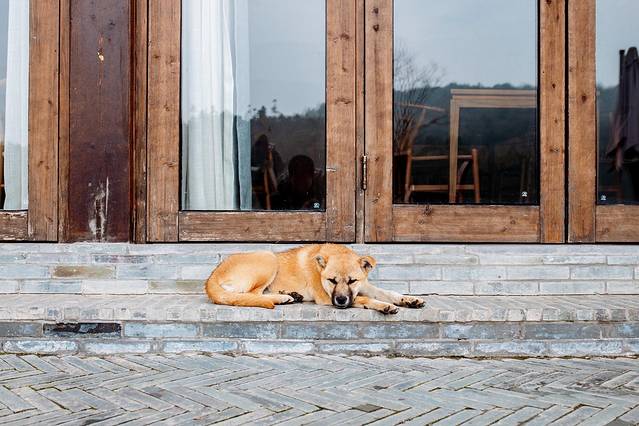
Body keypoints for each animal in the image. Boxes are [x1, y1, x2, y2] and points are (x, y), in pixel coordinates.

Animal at [205, 244, 424, 314]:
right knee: (253, 294)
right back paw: (282, 298)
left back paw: (290, 295)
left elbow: (386, 292)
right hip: (268, 258)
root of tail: (211, 278)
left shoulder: (364, 285)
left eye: (352, 281)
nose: (341, 301)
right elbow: (364, 299)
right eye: (332, 281)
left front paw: (409, 299)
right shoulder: (327, 298)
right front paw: (384, 306)